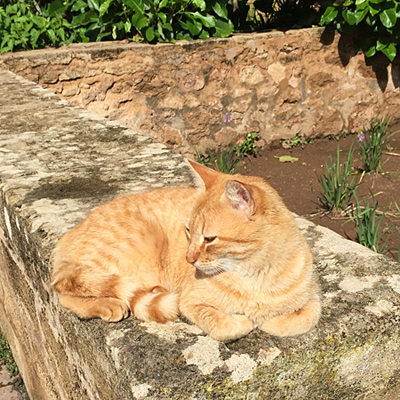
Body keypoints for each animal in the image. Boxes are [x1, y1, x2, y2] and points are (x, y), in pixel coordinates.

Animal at [51, 160, 321, 341]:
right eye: (188, 231)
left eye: (209, 239)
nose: (189, 259)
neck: (254, 275)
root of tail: (68, 236)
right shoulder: (190, 302)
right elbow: (228, 326)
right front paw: (248, 320)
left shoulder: (313, 298)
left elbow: (302, 319)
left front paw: (271, 320)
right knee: (64, 289)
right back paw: (107, 305)